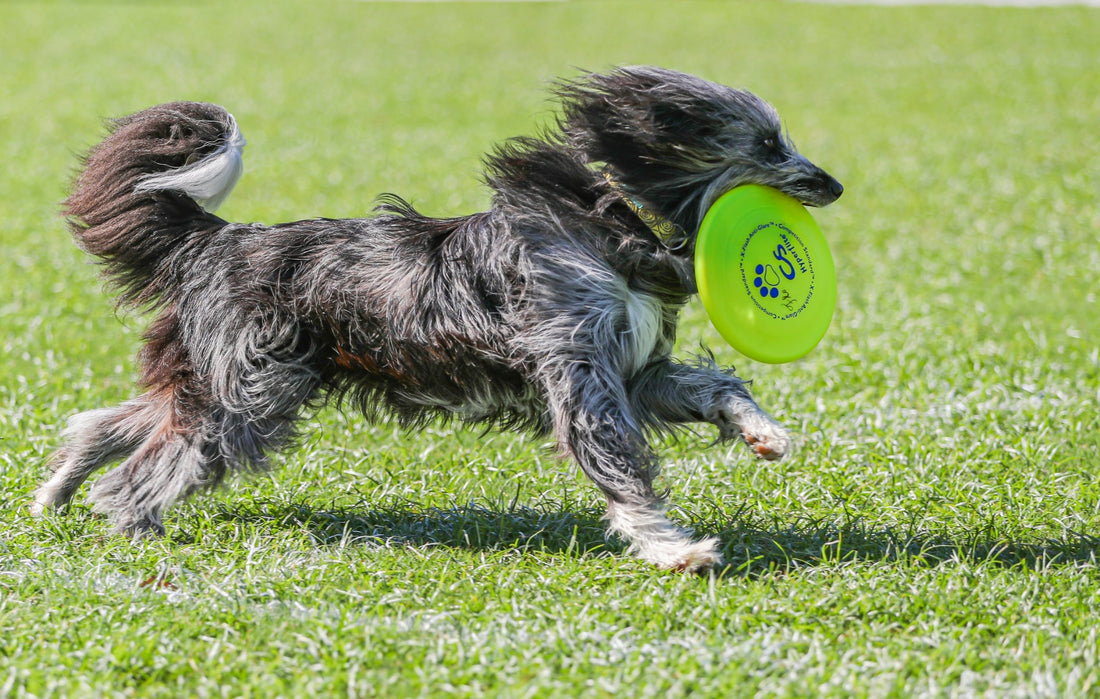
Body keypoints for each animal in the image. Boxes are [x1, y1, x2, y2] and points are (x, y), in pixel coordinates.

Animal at [34, 65, 840, 572]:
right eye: (768, 144)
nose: (833, 184)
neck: (615, 227)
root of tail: (219, 238)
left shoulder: (635, 371)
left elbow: (717, 387)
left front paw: (764, 433)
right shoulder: (580, 374)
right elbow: (618, 466)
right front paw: (675, 548)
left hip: (226, 380)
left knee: (113, 423)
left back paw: (55, 491)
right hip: (250, 392)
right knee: (151, 465)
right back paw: (134, 526)